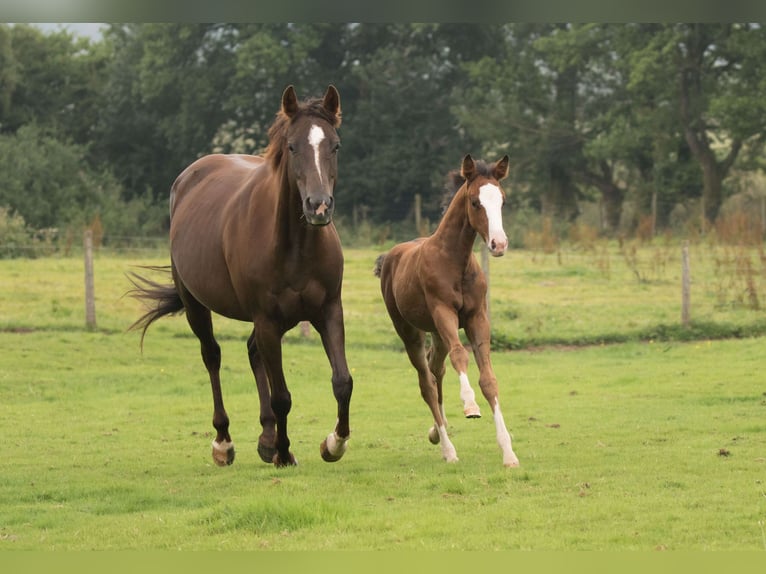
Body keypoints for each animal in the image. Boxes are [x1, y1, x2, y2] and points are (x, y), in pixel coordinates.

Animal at [130, 88, 354, 470]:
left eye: (335, 145)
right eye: (292, 146)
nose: (319, 206)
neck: (296, 245)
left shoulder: (328, 311)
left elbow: (342, 381)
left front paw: (333, 444)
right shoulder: (266, 319)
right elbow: (282, 396)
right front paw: (284, 453)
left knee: (252, 353)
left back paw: (266, 439)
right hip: (198, 306)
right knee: (212, 356)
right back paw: (225, 442)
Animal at [374, 156, 520, 468]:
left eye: (502, 200)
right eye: (475, 202)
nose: (499, 244)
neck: (456, 261)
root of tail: (390, 257)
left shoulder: (477, 318)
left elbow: (489, 380)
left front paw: (509, 453)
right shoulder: (444, 313)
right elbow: (460, 356)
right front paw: (470, 405)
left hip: (436, 333)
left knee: (436, 368)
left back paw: (436, 435)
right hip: (410, 331)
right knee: (427, 382)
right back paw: (448, 449)